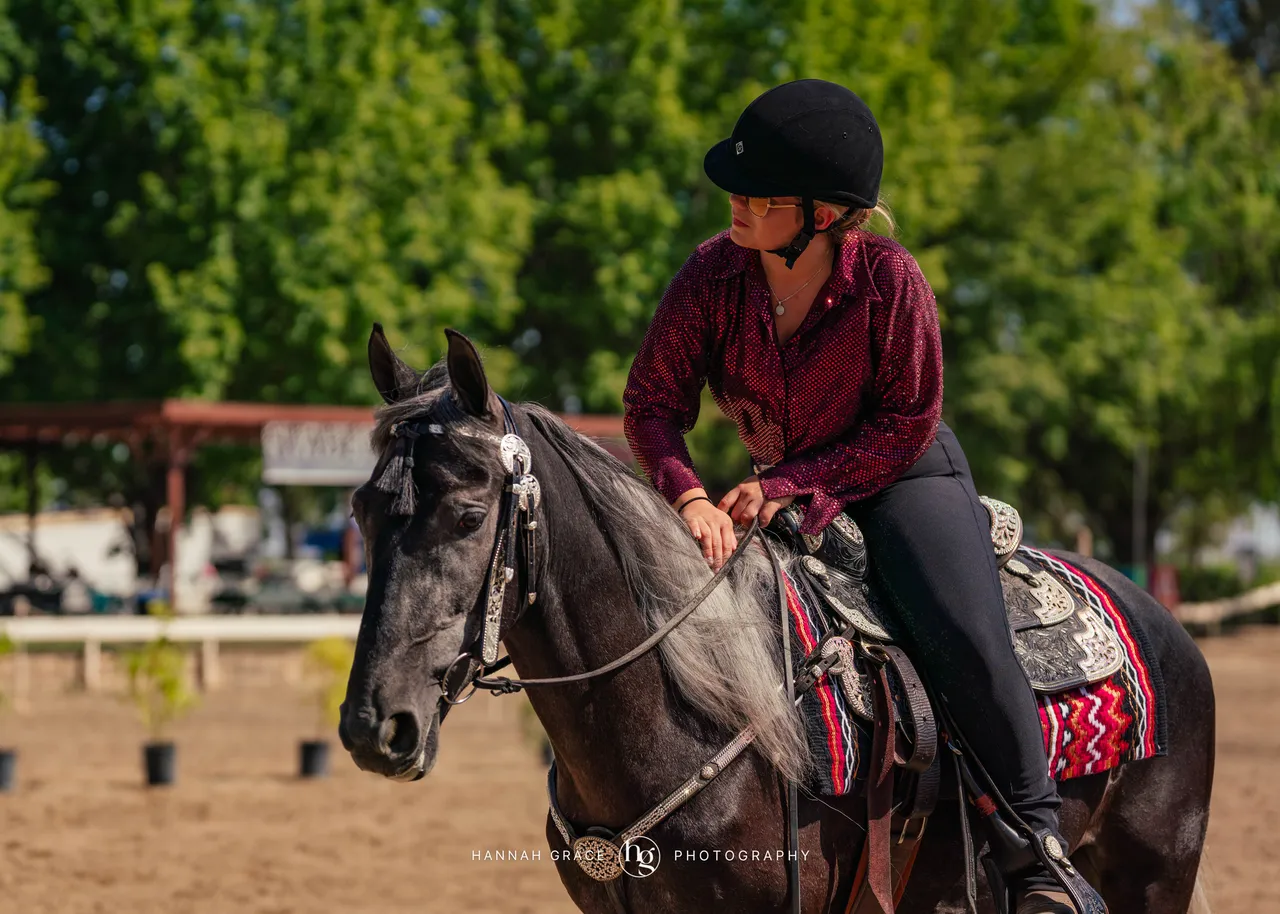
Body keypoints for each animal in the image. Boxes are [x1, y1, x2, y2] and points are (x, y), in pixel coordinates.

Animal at [339, 325, 1215, 913]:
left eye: (467, 515)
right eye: (362, 511)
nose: (375, 727)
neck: (698, 710)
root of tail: (1158, 616)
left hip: (1153, 876)